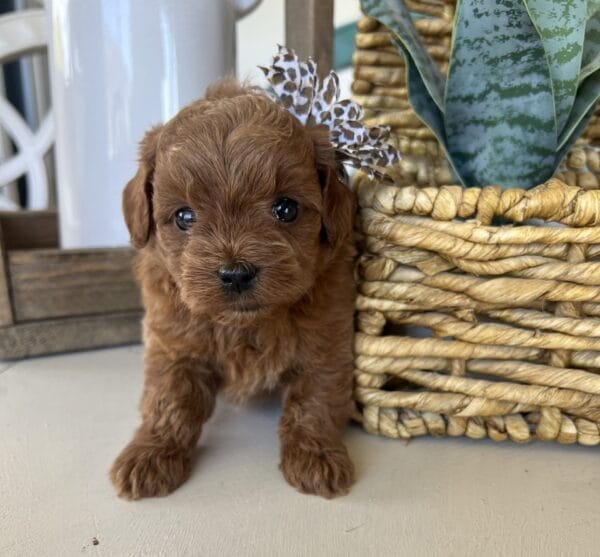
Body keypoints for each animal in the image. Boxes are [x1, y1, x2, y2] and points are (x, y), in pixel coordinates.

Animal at [109, 79, 356, 500]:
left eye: (286, 209)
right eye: (184, 217)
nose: (236, 273)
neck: (243, 325)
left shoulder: (327, 342)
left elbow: (314, 400)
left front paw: (316, 456)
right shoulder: (172, 345)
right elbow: (168, 400)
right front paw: (150, 454)